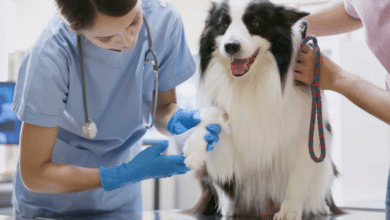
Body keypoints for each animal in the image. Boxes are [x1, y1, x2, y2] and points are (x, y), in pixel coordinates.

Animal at [180, 0, 344, 220]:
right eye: (223, 24)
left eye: (255, 23)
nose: (231, 46)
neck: (252, 80)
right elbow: (212, 115)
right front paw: (194, 148)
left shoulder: (305, 135)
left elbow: (297, 179)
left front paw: (289, 209)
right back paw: (229, 207)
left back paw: (320, 207)